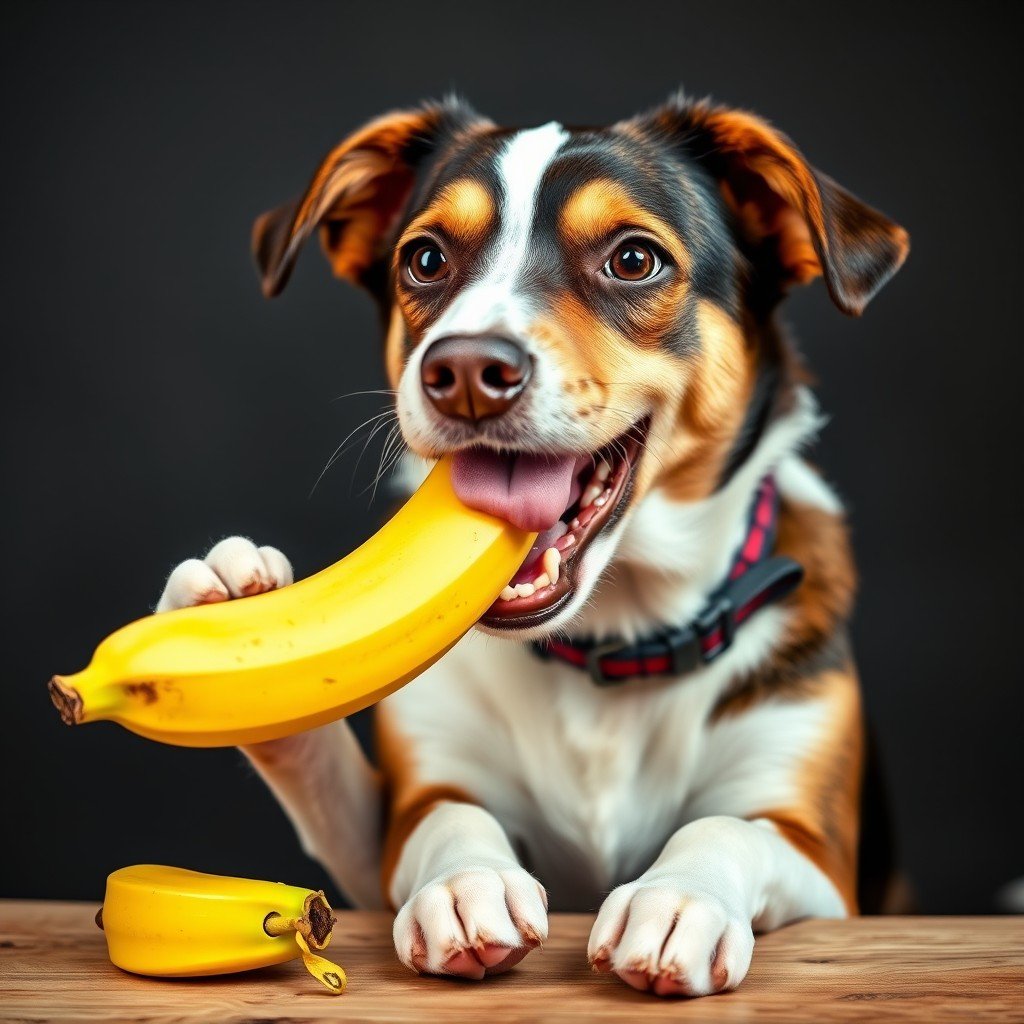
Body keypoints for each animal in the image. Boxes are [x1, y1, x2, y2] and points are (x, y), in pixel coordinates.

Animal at [155, 92, 909, 995]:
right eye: (426, 259)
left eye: (633, 258)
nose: (464, 371)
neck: (615, 645)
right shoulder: (389, 832)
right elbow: (444, 815)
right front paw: (464, 882)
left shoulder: (822, 855)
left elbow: (725, 827)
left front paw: (678, 898)